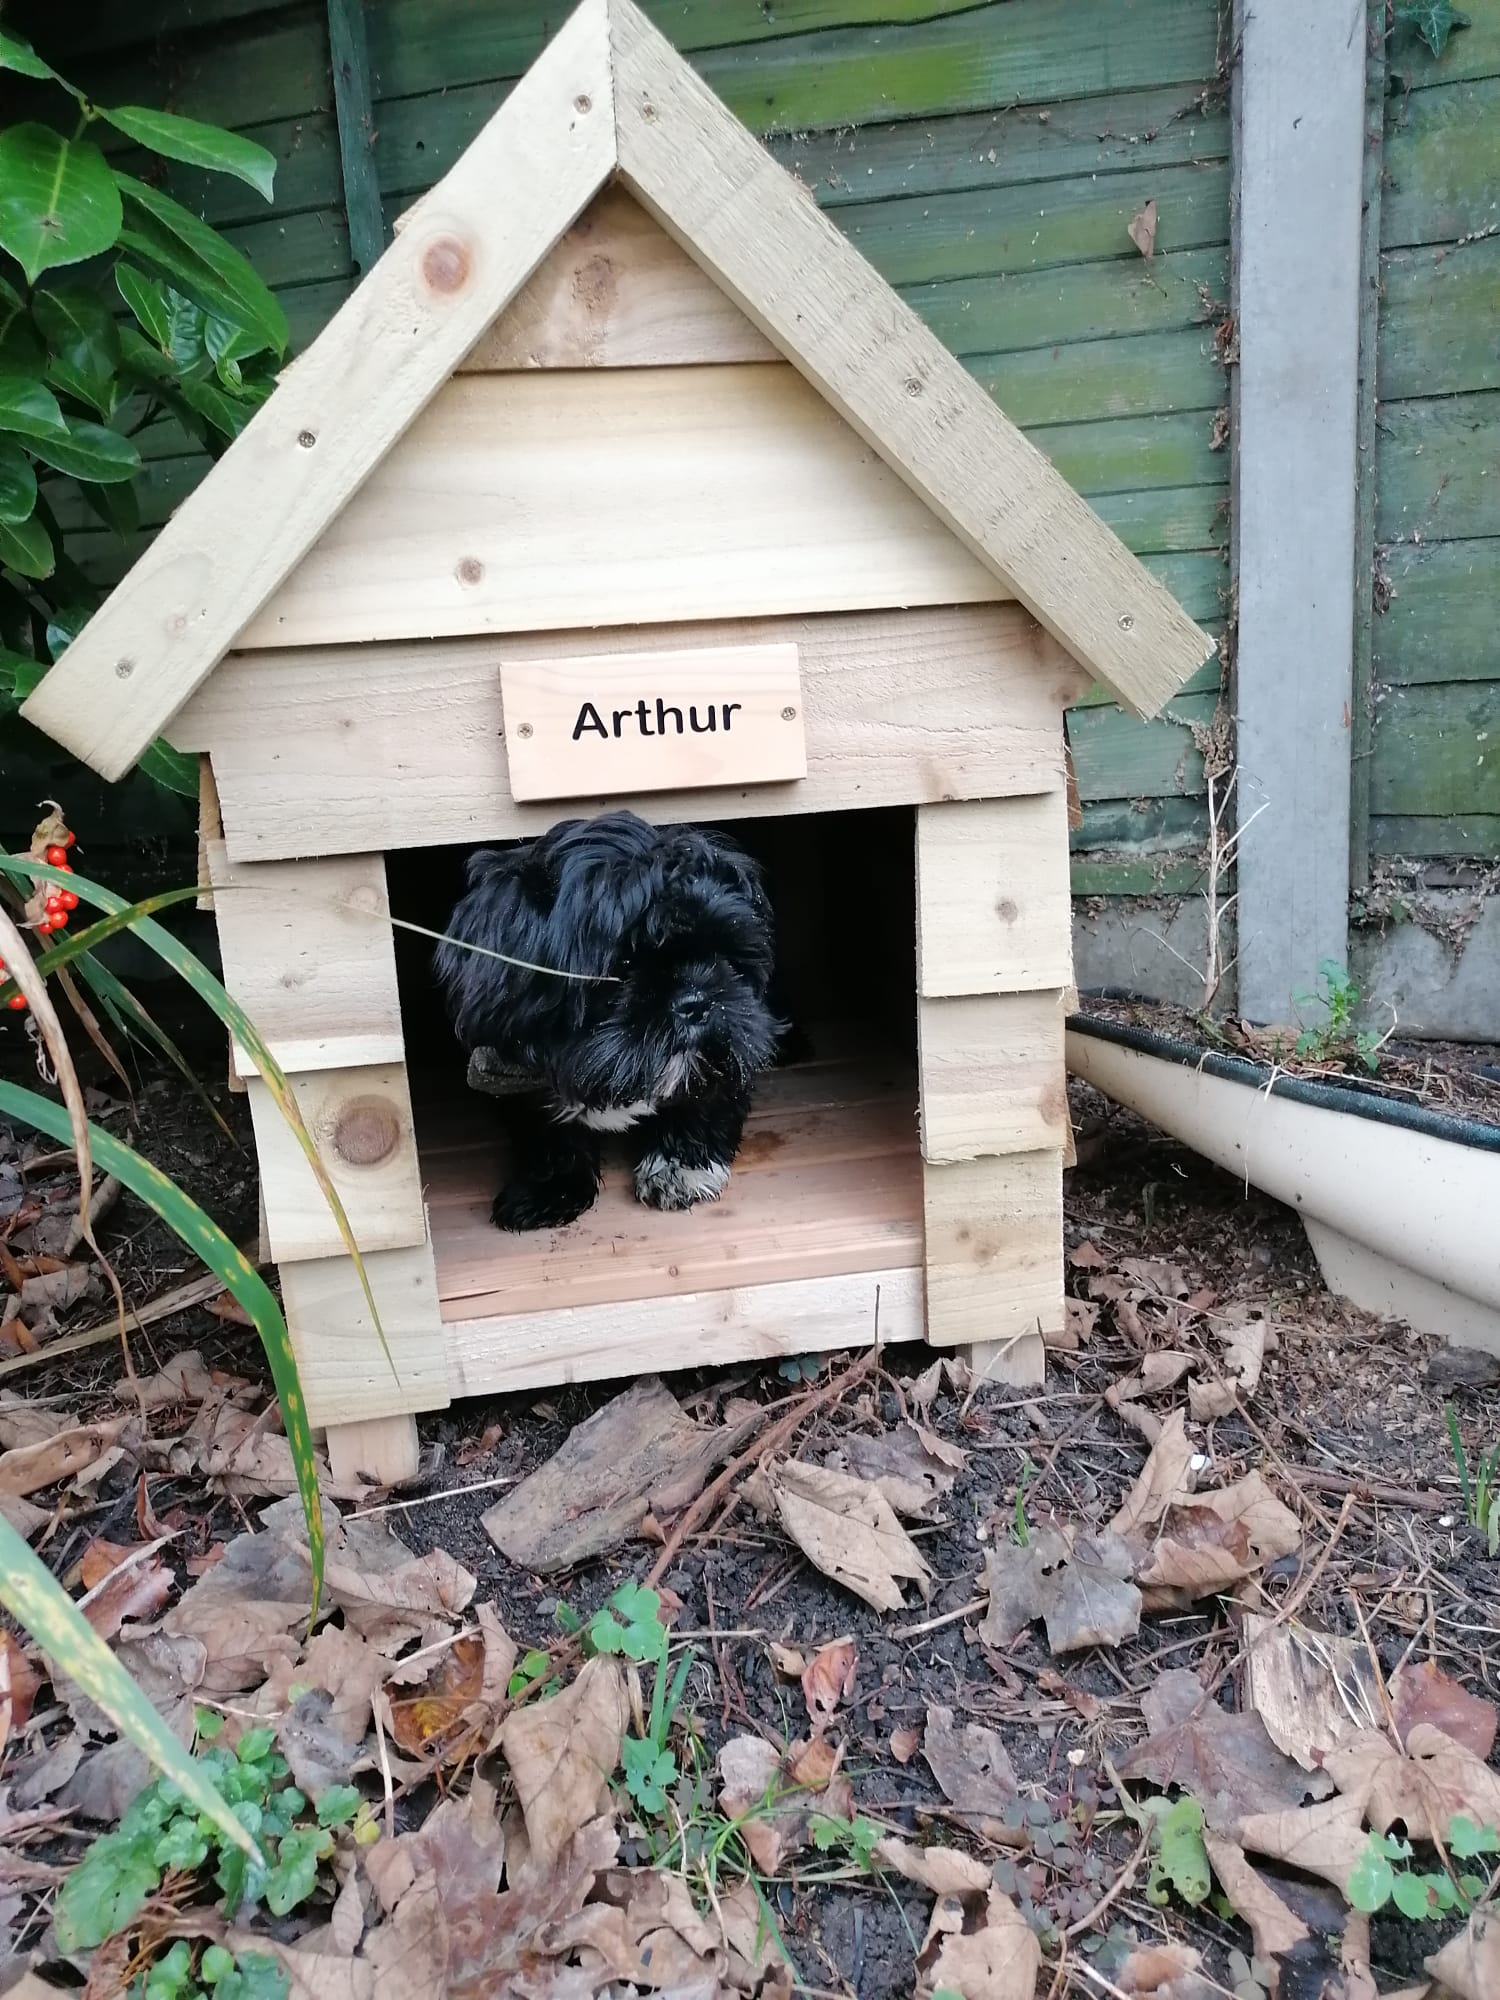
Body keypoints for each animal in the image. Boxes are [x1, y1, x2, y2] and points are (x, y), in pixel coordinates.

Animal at [434, 804, 788, 1224]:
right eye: (623, 964)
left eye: (722, 953)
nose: (695, 1000)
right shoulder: (507, 1072)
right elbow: (545, 1129)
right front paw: (551, 1187)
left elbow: (708, 1093)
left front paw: (680, 1166)